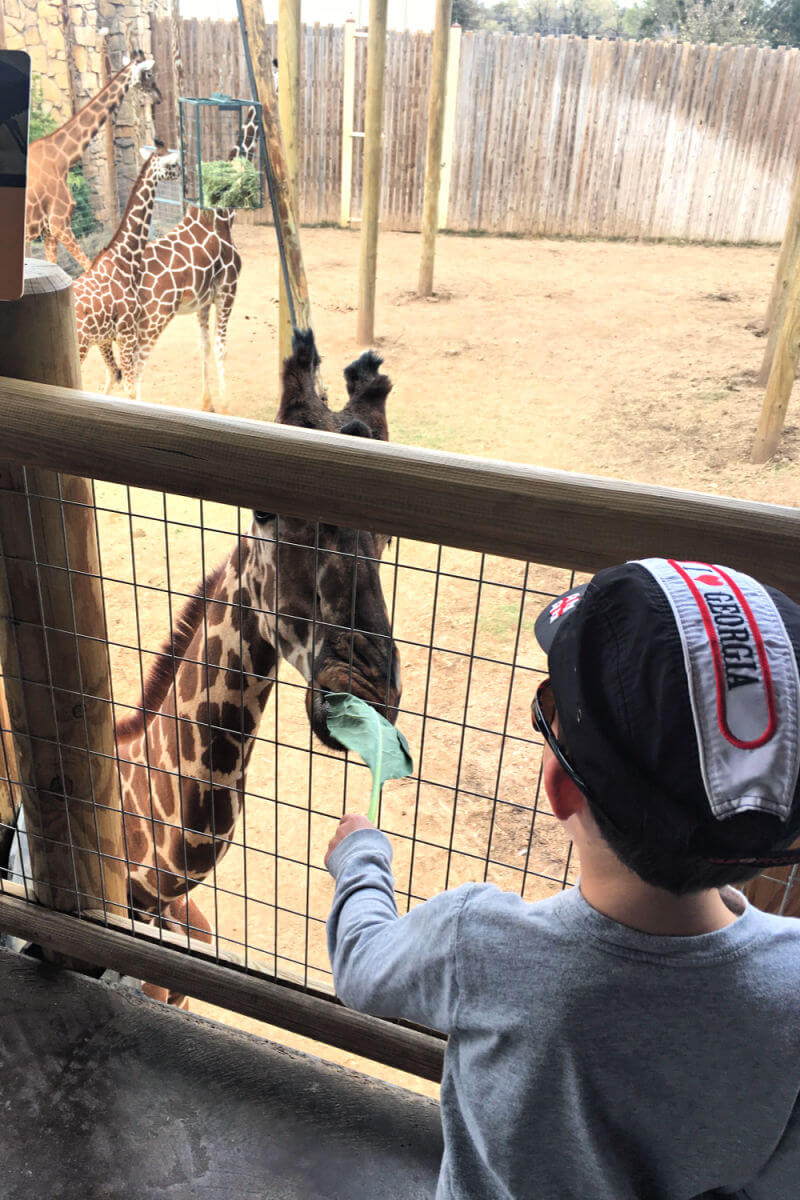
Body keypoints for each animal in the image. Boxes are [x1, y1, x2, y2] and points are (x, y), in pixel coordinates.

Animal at [26, 50, 161, 271]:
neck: (62, 158)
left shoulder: (49, 230)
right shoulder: (59, 223)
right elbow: (88, 266)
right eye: (148, 74)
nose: (159, 97)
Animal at [74, 144, 182, 398]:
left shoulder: (106, 337)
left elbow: (114, 375)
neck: (125, 260)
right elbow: (131, 387)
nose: (182, 172)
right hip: (80, 346)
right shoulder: (127, 332)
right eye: (172, 164)